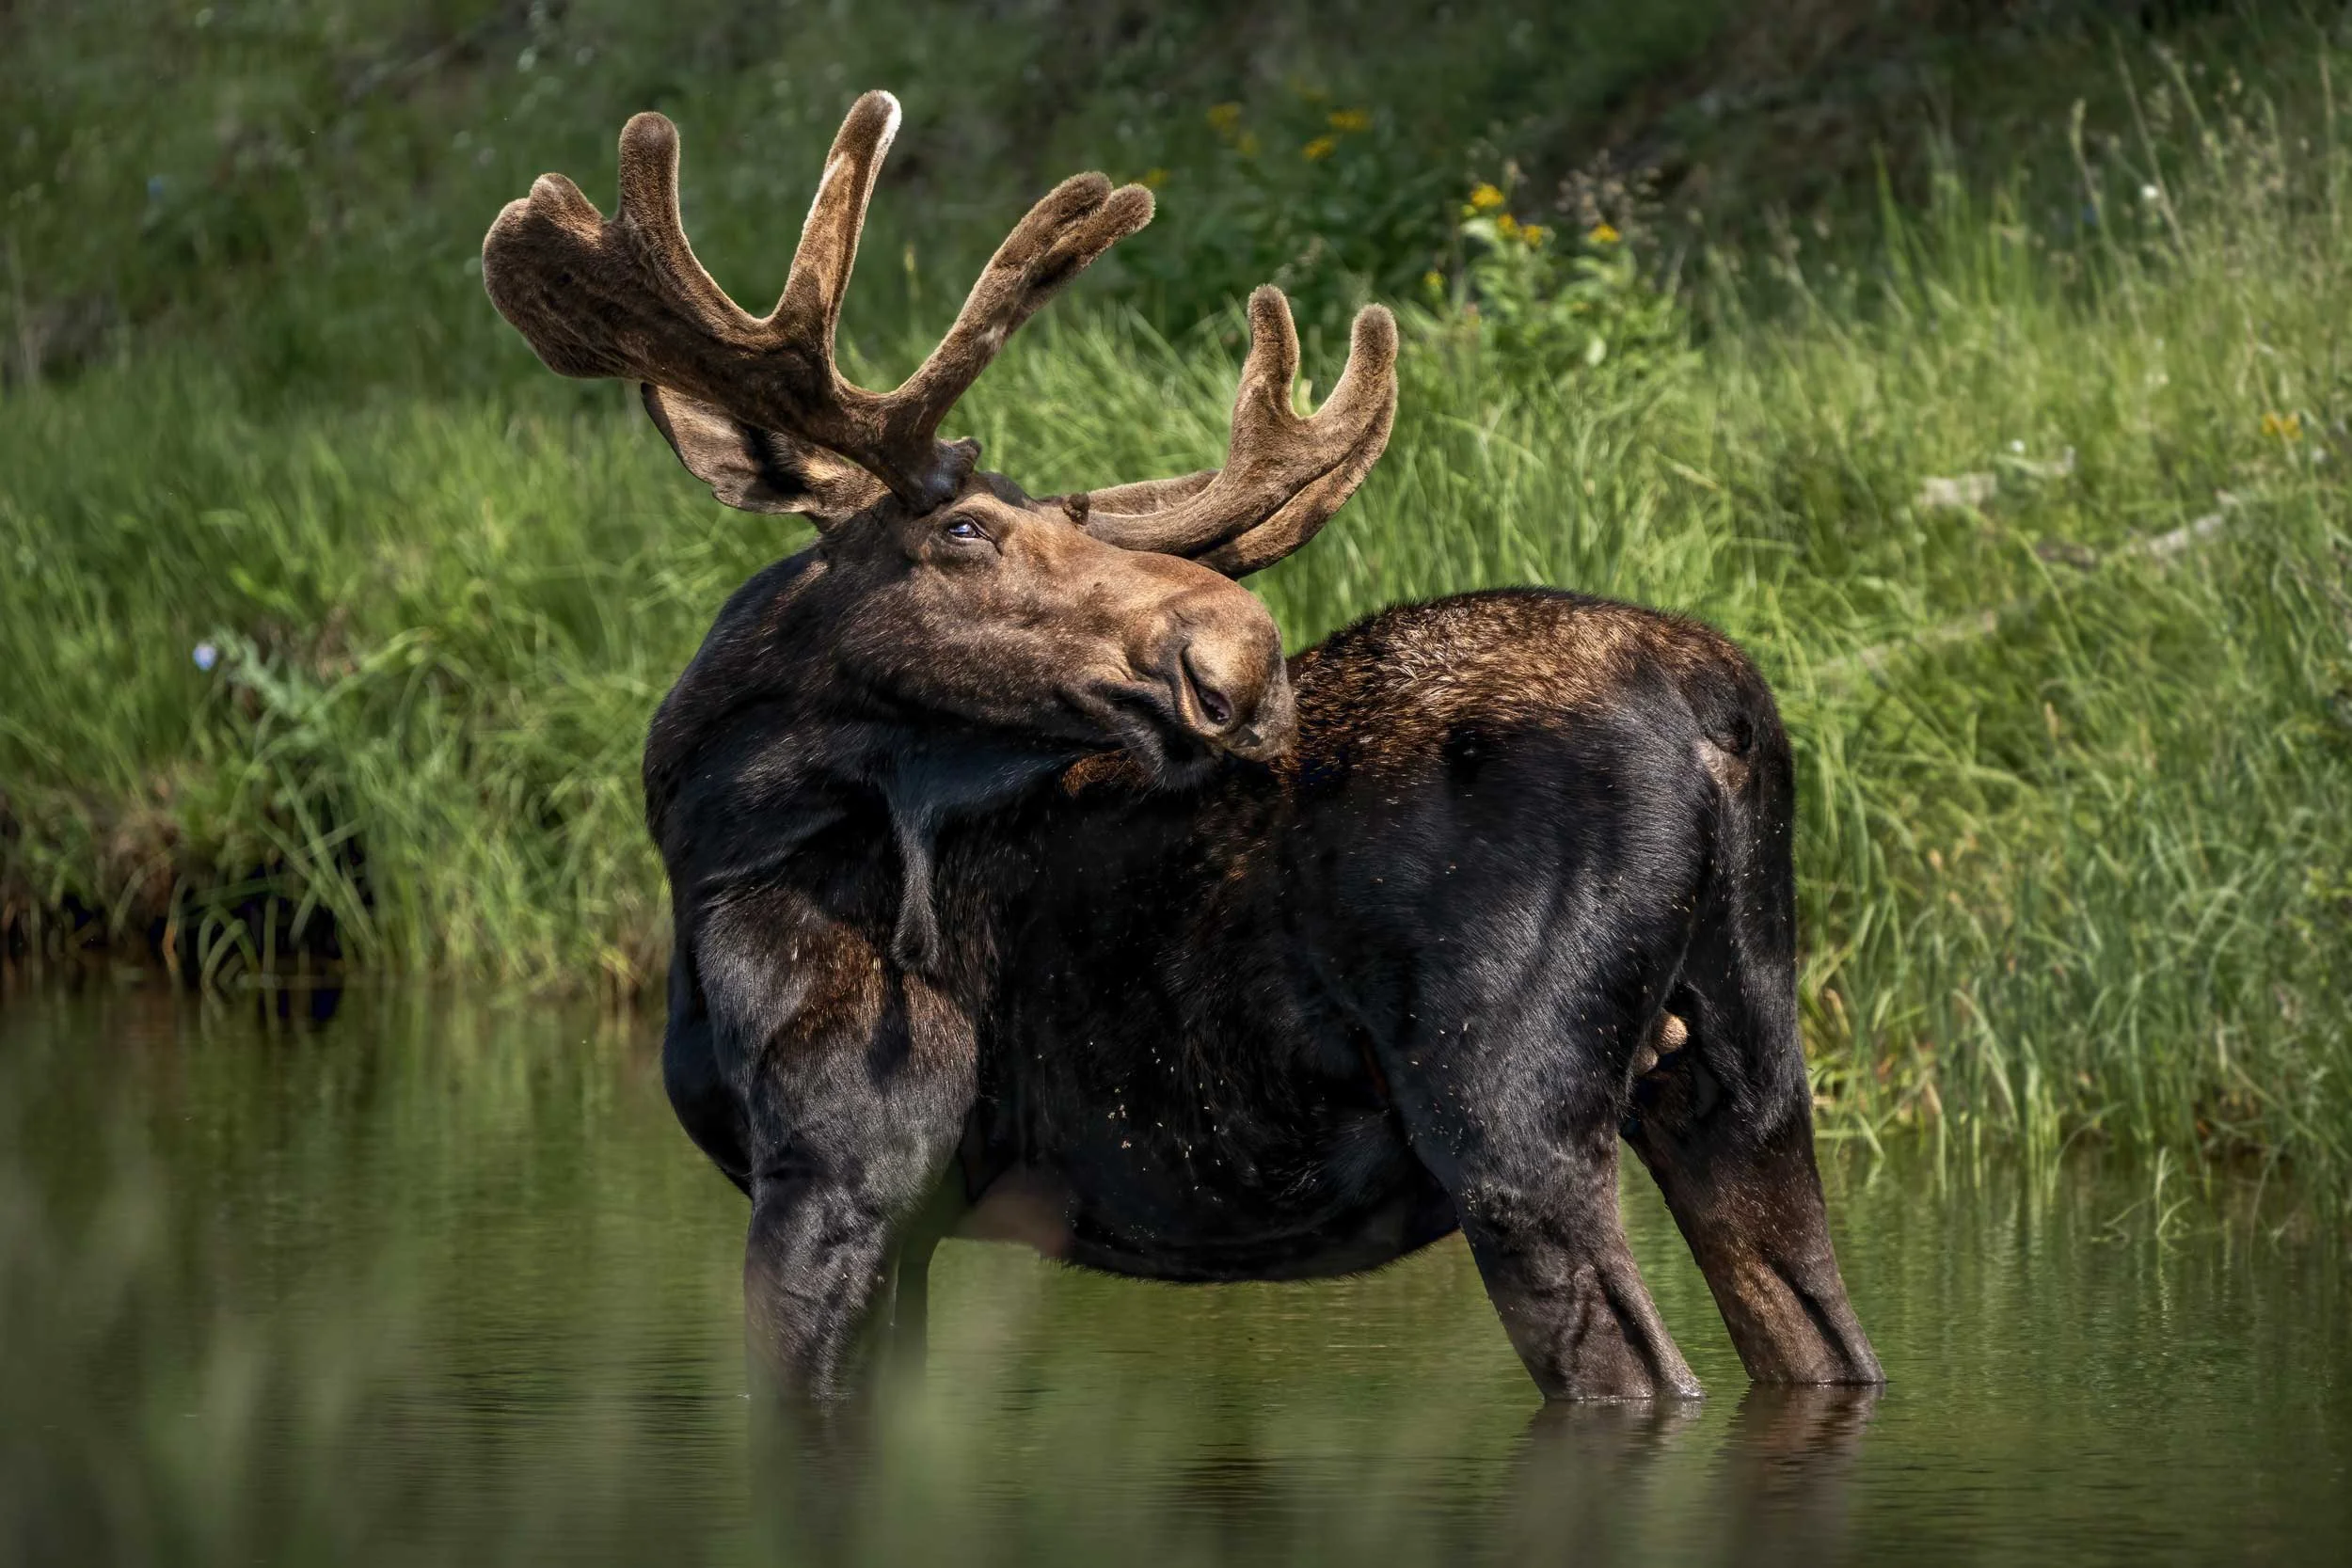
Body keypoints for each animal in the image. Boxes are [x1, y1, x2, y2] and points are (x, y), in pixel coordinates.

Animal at [481, 91, 1882, 1404]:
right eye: (966, 531)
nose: (1242, 647)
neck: (713, 837)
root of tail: (1719, 719)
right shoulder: (910, 1218)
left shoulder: (842, 1158)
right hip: (1752, 1075)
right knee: (1824, 1343)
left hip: (1508, 1105)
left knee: (1641, 1369)